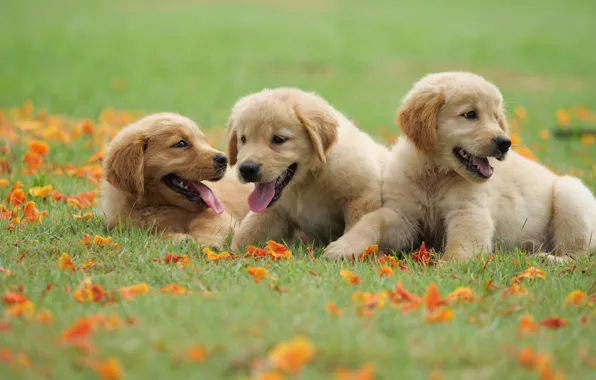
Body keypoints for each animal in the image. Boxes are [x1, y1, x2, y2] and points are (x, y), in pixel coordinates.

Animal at [100, 112, 254, 249]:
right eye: (181, 143)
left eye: (203, 141)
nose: (224, 159)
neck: (159, 206)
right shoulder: (127, 227)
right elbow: (151, 235)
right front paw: (178, 239)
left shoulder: (218, 215)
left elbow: (209, 226)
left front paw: (207, 243)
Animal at [228, 87, 392, 251]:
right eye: (243, 139)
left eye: (278, 139)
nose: (246, 169)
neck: (307, 180)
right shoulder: (274, 210)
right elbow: (246, 234)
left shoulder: (360, 196)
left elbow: (357, 226)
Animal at [324, 71, 596, 262]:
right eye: (470, 114)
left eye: (496, 118)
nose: (505, 143)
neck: (435, 174)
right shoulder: (403, 215)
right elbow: (372, 220)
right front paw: (343, 247)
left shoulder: (469, 213)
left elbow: (462, 248)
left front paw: (446, 267)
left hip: (570, 192)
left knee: (578, 255)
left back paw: (549, 259)